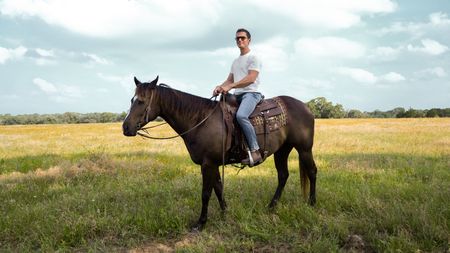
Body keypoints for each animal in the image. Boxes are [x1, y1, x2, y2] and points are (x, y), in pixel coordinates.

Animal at [121, 76, 318, 230]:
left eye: (141, 101)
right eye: (131, 100)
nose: (126, 127)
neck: (200, 120)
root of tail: (305, 106)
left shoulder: (207, 164)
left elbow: (206, 193)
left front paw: (201, 223)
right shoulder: (213, 163)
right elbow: (218, 188)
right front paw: (225, 213)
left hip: (304, 149)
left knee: (312, 172)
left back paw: (312, 203)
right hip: (282, 150)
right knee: (283, 175)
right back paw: (271, 206)